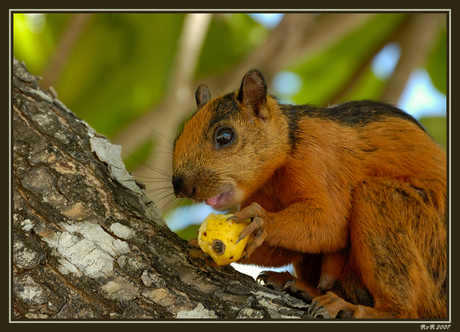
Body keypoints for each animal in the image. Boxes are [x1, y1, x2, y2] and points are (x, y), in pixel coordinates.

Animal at [172, 68, 446, 320]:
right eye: (177, 139)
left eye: (225, 136)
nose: (179, 186)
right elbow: (284, 249)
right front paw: (200, 246)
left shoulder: (318, 157)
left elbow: (331, 224)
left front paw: (263, 221)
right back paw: (304, 288)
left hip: (419, 232)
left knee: (404, 311)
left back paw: (353, 308)